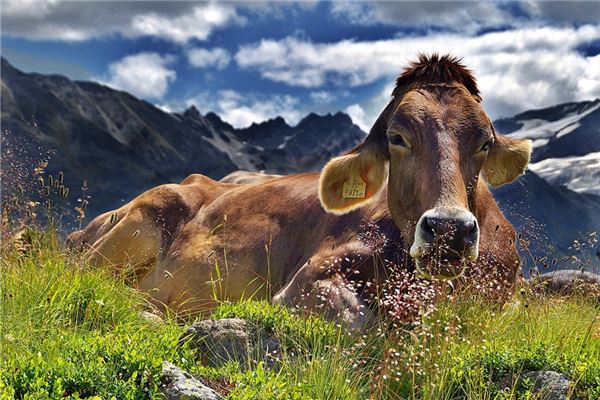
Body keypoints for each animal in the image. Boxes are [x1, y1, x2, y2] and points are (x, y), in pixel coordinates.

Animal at [68, 54, 532, 330]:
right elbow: (359, 321)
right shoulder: (305, 281)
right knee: (96, 279)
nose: (448, 230)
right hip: (143, 217)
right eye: (397, 137)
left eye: (484, 142)